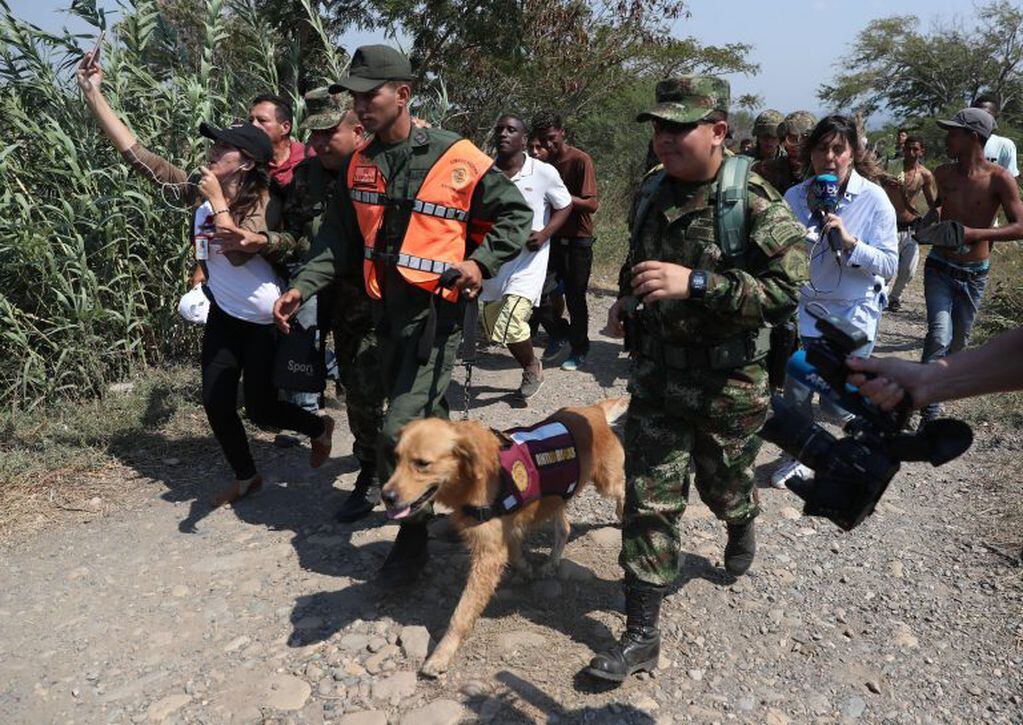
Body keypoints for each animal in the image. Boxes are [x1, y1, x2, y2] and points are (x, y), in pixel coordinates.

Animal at [380, 396, 626, 674]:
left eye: (422, 464)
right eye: (396, 458)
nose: (386, 496)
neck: (473, 477)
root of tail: (592, 411)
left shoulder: (488, 555)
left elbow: (462, 612)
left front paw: (442, 654)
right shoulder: (506, 532)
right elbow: (516, 554)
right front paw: (527, 569)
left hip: (606, 482)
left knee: (621, 491)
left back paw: (623, 511)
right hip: (556, 495)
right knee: (564, 528)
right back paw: (551, 563)